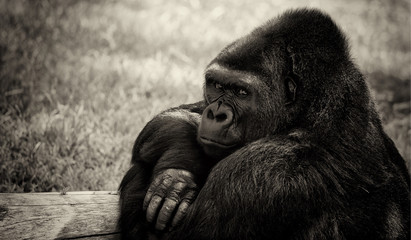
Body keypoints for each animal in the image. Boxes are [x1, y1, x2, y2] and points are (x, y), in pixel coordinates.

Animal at [117, 8, 410, 239]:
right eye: (216, 85)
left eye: (241, 92)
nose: (216, 114)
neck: (312, 109)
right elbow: (178, 115)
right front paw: (178, 169)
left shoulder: (264, 170)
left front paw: (178, 171)